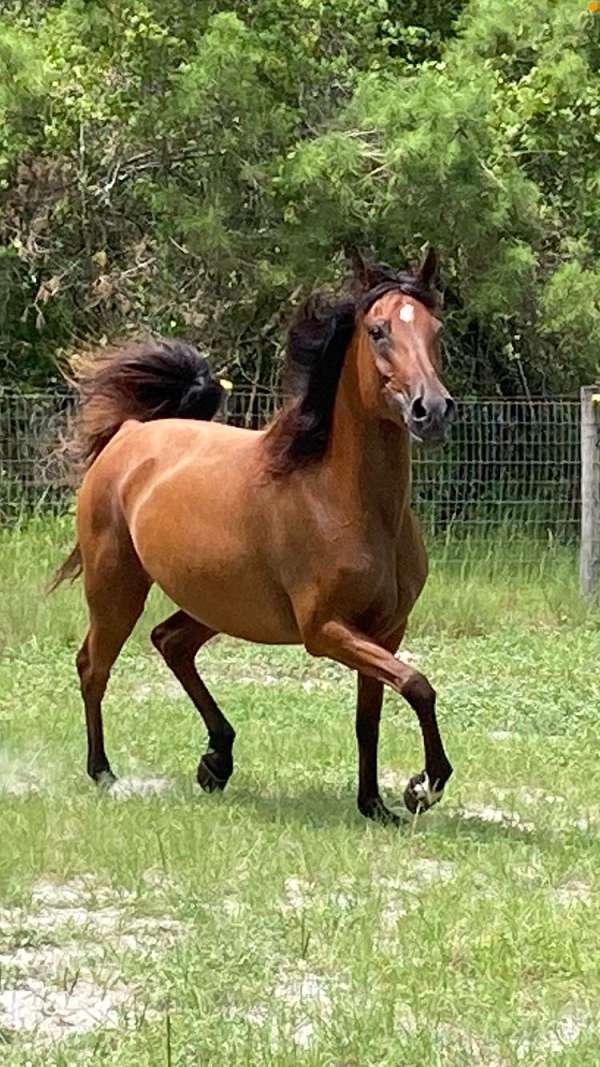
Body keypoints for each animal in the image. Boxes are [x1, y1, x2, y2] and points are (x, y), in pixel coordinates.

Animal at [52, 249, 455, 826]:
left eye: (435, 329)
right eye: (378, 330)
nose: (432, 410)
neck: (345, 501)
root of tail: (129, 434)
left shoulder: (386, 631)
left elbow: (374, 714)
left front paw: (376, 805)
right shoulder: (326, 631)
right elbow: (418, 685)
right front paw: (424, 786)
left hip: (218, 602)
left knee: (170, 642)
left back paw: (216, 761)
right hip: (116, 588)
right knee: (94, 666)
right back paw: (104, 773)